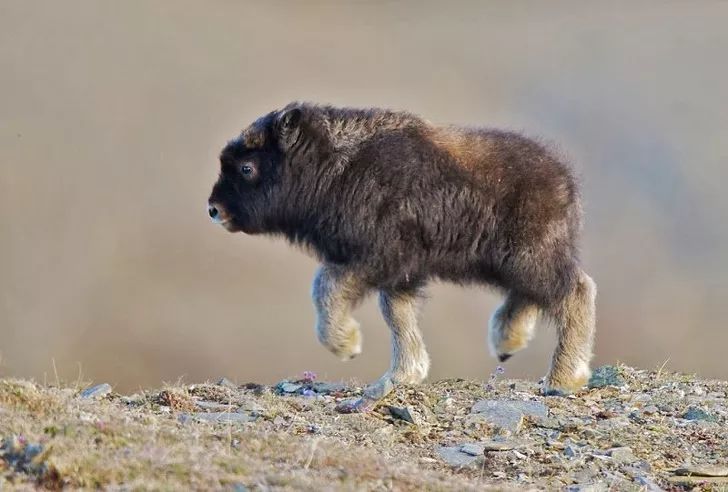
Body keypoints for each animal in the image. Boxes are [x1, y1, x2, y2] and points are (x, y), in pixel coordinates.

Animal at [208, 101, 596, 412]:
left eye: (246, 167)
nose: (214, 209)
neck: (336, 167)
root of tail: (565, 180)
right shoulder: (399, 273)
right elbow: (398, 316)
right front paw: (405, 373)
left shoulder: (376, 258)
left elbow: (326, 287)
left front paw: (346, 345)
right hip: (515, 263)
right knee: (531, 296)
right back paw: (507, 341)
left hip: (530, 257)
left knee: (575, 291)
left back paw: (563, 379)